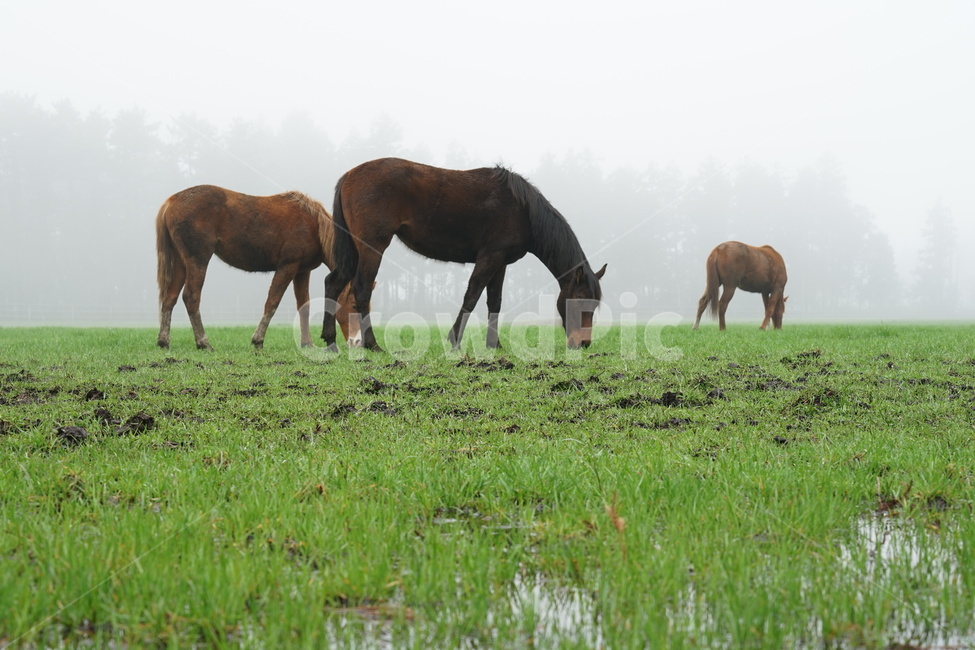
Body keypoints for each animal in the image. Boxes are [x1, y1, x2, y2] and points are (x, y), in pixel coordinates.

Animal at [155, 185, 362, 350]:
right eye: (353, 304)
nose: (357, 342)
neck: (314, 224)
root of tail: (171, 202)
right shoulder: (288, 267)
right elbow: (272, 302)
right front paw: (258, 340)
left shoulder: (302, 271)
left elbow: (304, 306)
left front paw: (307, 343)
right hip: (197, 260)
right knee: (191, 297)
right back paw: (203, 342)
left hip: (181, 263)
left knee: (170, 298)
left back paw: (164, 342)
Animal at [320, 157, 606, 351]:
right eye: (579, 301)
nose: (583, 343)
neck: (522, 210)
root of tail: (349, 176)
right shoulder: (490, 257)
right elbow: (472, 296)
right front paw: (455, 340)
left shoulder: (500, 263)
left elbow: (494, 302)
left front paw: (494, 345)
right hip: (372, 247)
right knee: (361, 289)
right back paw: (372, 344)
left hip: (353, 250)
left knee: (333, 283)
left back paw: (330, 342)